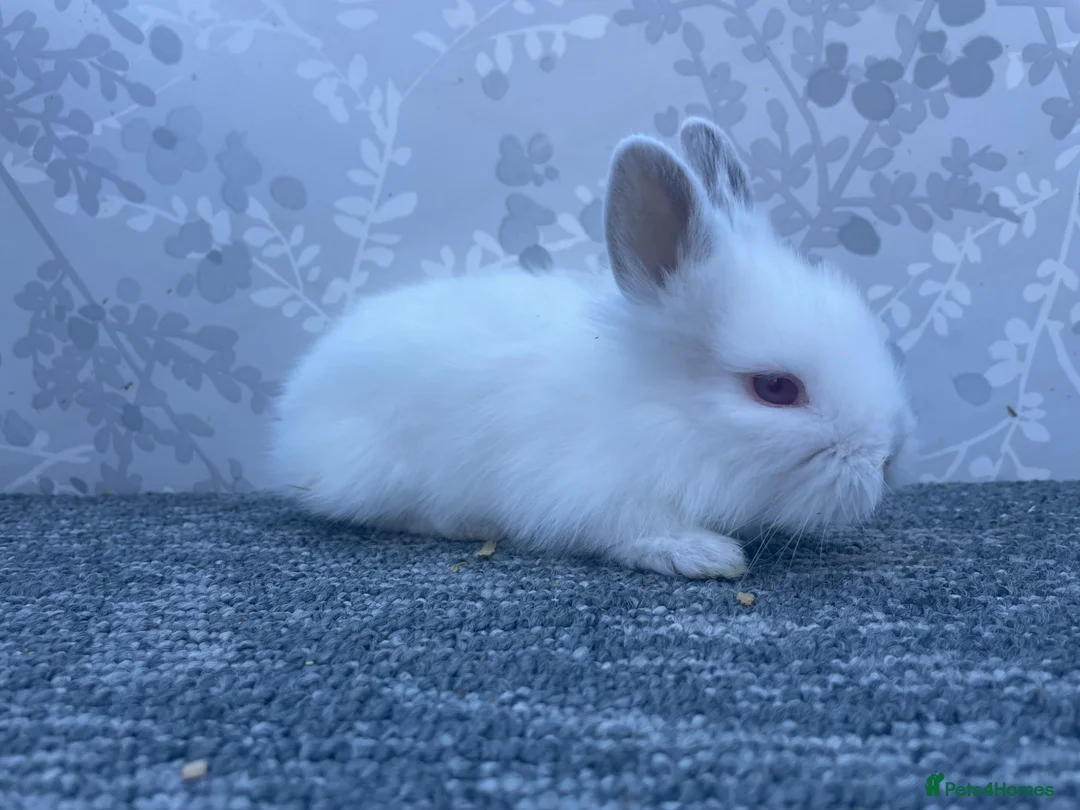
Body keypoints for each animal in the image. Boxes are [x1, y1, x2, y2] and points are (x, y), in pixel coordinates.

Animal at [270, 116, 915, 579]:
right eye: (776, 388)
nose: (888, 461)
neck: (662, 411)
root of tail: (294, 413)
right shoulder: (592, 490)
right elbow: (635, 529)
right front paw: (704, 556)